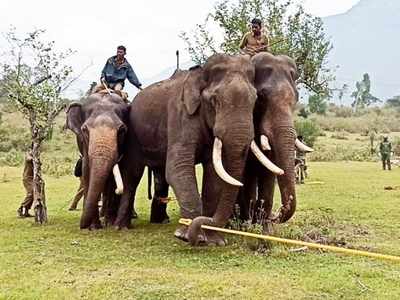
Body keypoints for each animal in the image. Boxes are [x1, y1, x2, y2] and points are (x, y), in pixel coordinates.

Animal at [66, 92, 130, 229]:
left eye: (122, 130)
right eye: (84, 129)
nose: (82, 226)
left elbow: (112, 178)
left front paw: (109, 223)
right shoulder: (84, 145)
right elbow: (86, 172)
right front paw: (94, 227)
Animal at [115, 54, 282, 245]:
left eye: (255, 101)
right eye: (215, 101)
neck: (201, 74)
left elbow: (213, 174)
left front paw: (212, 241)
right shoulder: (180, 114)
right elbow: (178, 168)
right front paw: (186, 236)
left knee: (159, 176)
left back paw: (159, 221)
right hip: (133, 134)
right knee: (133, 174)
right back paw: (121, 227)